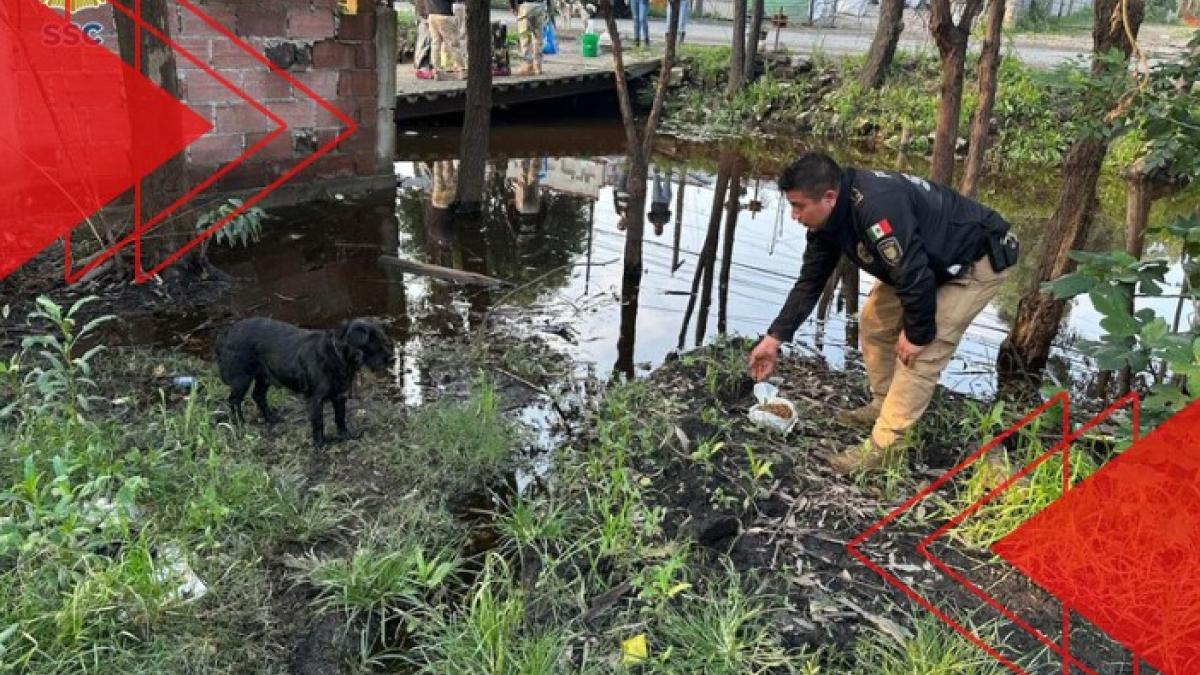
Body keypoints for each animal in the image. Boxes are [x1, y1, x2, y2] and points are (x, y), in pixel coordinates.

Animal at [214, 317, 393, 446]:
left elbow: (340, 417)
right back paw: (240, 423)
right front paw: (320, 444)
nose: (391, 359)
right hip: (242, 379)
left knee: (258, 395)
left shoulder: (339, 396)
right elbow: (318, 423)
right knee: (234, 400)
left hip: (264, 376)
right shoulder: (315, 399)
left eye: (383, 340)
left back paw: (271, 418)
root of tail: (227, 332)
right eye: (372, 343)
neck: (336, 357)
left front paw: (345, 435)